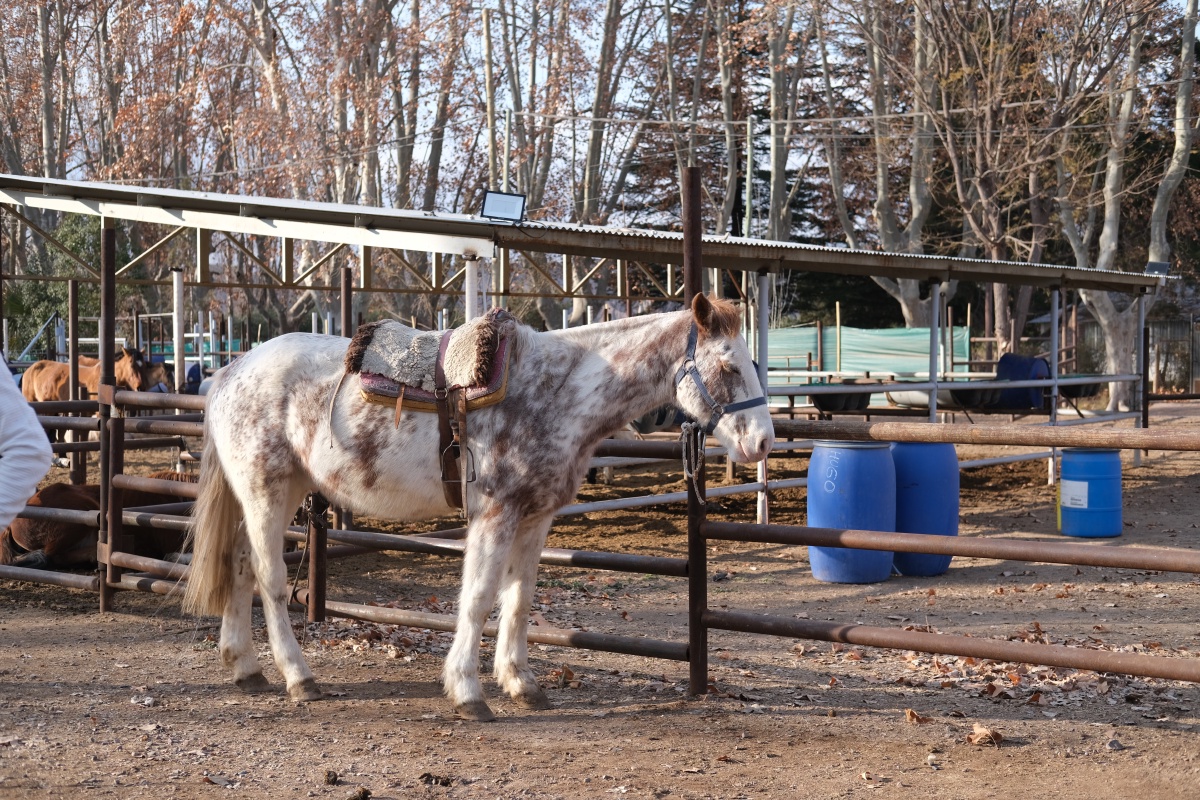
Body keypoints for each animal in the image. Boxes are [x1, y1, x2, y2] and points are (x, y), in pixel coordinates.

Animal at [183, 293, 774, 721]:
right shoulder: (495, 514)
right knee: (268, 578)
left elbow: (519, 598)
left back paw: (246, 667)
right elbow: (479, 597)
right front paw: (468, 691)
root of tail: (230, 372)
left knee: (240, 567)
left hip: (275, 495)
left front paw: (521, 682)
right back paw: (298, 677)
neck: (556, 391)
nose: (763, 443)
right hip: (267, 491)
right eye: (728, 367)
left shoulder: (535, 517)